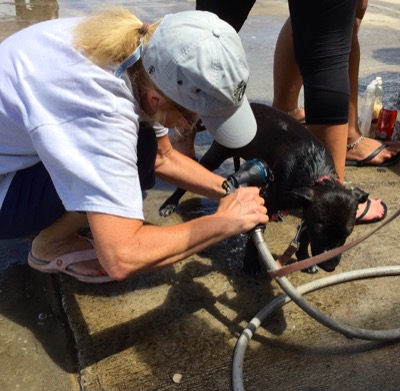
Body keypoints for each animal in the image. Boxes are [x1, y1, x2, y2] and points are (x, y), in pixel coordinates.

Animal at [159, 104, 366, 276]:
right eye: (321, 232)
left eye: (347, 234)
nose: (329, 267)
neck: (315, 169)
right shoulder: (269, 200)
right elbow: (256, 232)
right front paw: (251, 263)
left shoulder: (307, 212)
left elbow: (305, 237)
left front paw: (304, 259)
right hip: (217, 154)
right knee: (185, 178)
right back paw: (170, 204)